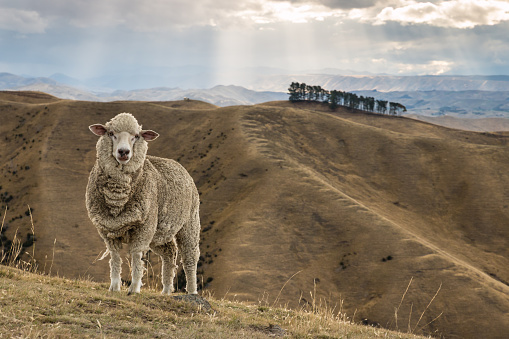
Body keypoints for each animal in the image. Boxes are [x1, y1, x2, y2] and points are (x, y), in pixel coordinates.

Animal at [86, 113, 199, 296]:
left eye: (136, 136)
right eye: (111, 133)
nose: (124, 152)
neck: (118, 197)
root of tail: (179, 165)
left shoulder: (144, 228)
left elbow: (136, 256)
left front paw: (134, 287)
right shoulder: (107, 229)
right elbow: (115, 257)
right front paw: (114, 286)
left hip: (190, 223)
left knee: (190, 258)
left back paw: (192, 291)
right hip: (159, 232)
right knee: (169, 252)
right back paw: (166, 290)